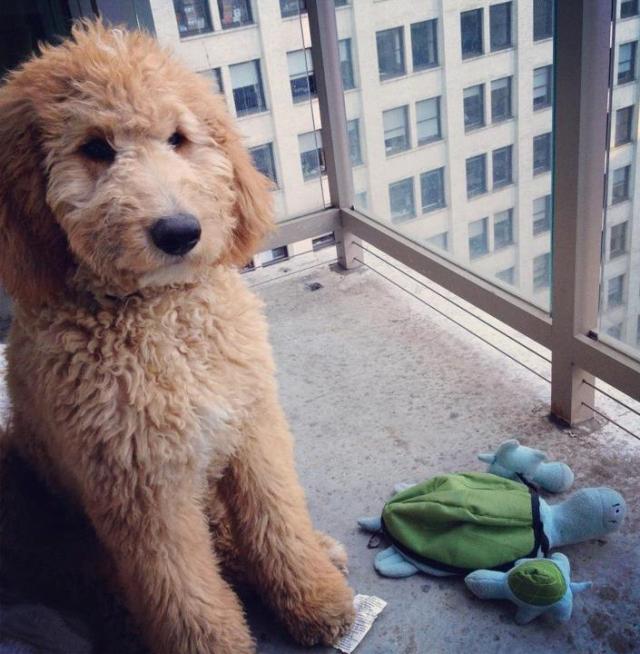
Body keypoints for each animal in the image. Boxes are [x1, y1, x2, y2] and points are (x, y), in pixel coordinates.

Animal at [0, 19, 356, 654]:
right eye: (95, 147)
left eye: (178, 138)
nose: (179, 231)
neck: (162, 317)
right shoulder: (141, 485)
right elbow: (183, 589)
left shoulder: (252, 431)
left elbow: (278, 522)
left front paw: (313, 595)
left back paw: (319, 553)